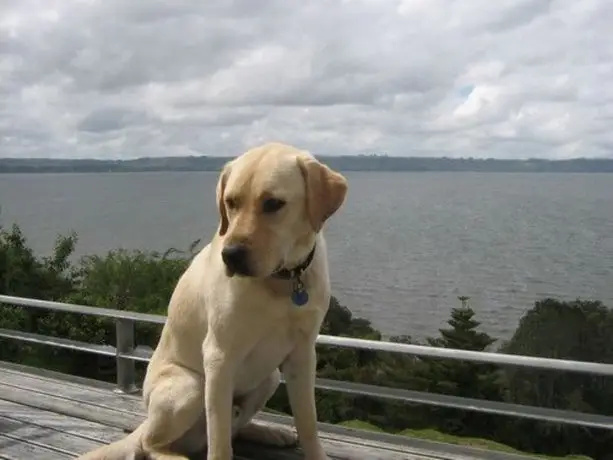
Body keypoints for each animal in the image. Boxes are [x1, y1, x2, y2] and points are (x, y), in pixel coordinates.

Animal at [78, 142, 346, 460]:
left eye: (273, 203)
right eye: (231, 202)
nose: (231, 255)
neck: (281, 281)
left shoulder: (303, 353)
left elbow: (308, 421)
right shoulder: (219, 356)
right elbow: (219, 442)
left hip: (268, 378)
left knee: (236, 426)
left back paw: (269, 432)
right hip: (191, 386)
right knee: (151, 444)